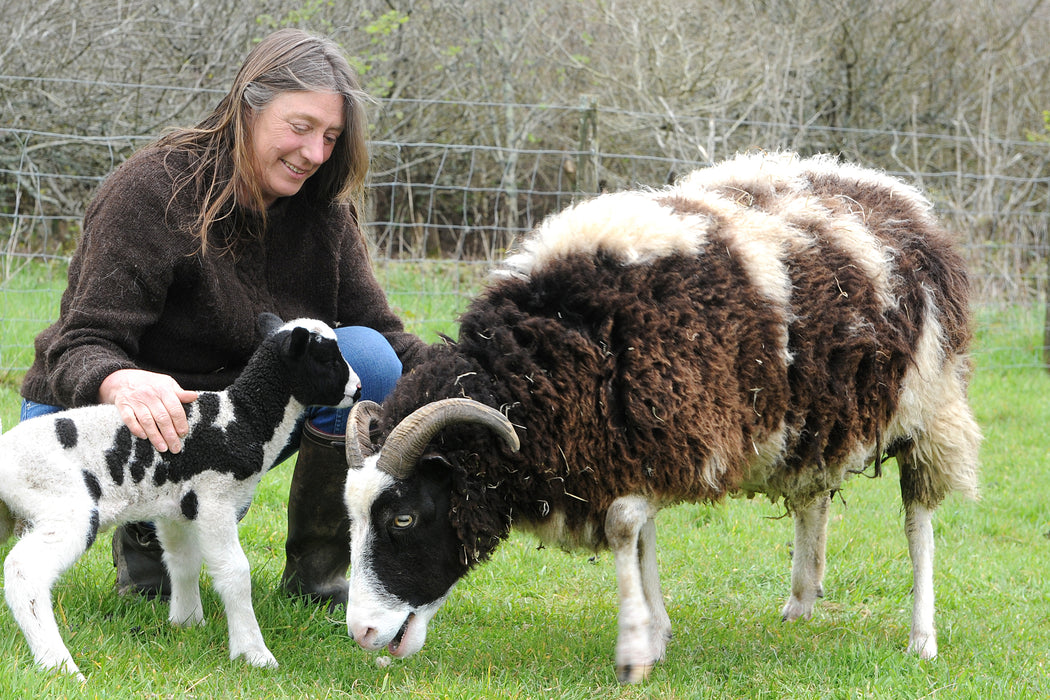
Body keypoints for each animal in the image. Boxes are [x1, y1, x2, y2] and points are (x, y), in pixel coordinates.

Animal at [0, 312, 361, 680]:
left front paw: (187, 623)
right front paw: (253, 653)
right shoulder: (215, 499)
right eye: (327, 359)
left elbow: (183, 561)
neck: (245, 419)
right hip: (63, 501)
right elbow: (235, 573)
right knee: (23, 571)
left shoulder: (177, 508)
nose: (358, 389)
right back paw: (58, 664)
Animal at [340, 153, 978, 684]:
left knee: (918, 519)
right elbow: (641, 537)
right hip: (812, 417)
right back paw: (802, 599)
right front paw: (655, 633)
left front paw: (633, 653)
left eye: (402, 517)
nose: (361, 633)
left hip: (929, 404)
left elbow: (625, 528)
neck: (566, 348)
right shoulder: (633, 445)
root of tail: (892, 192)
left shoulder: (667, 436)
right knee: (813, 498)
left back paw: (922, 637)